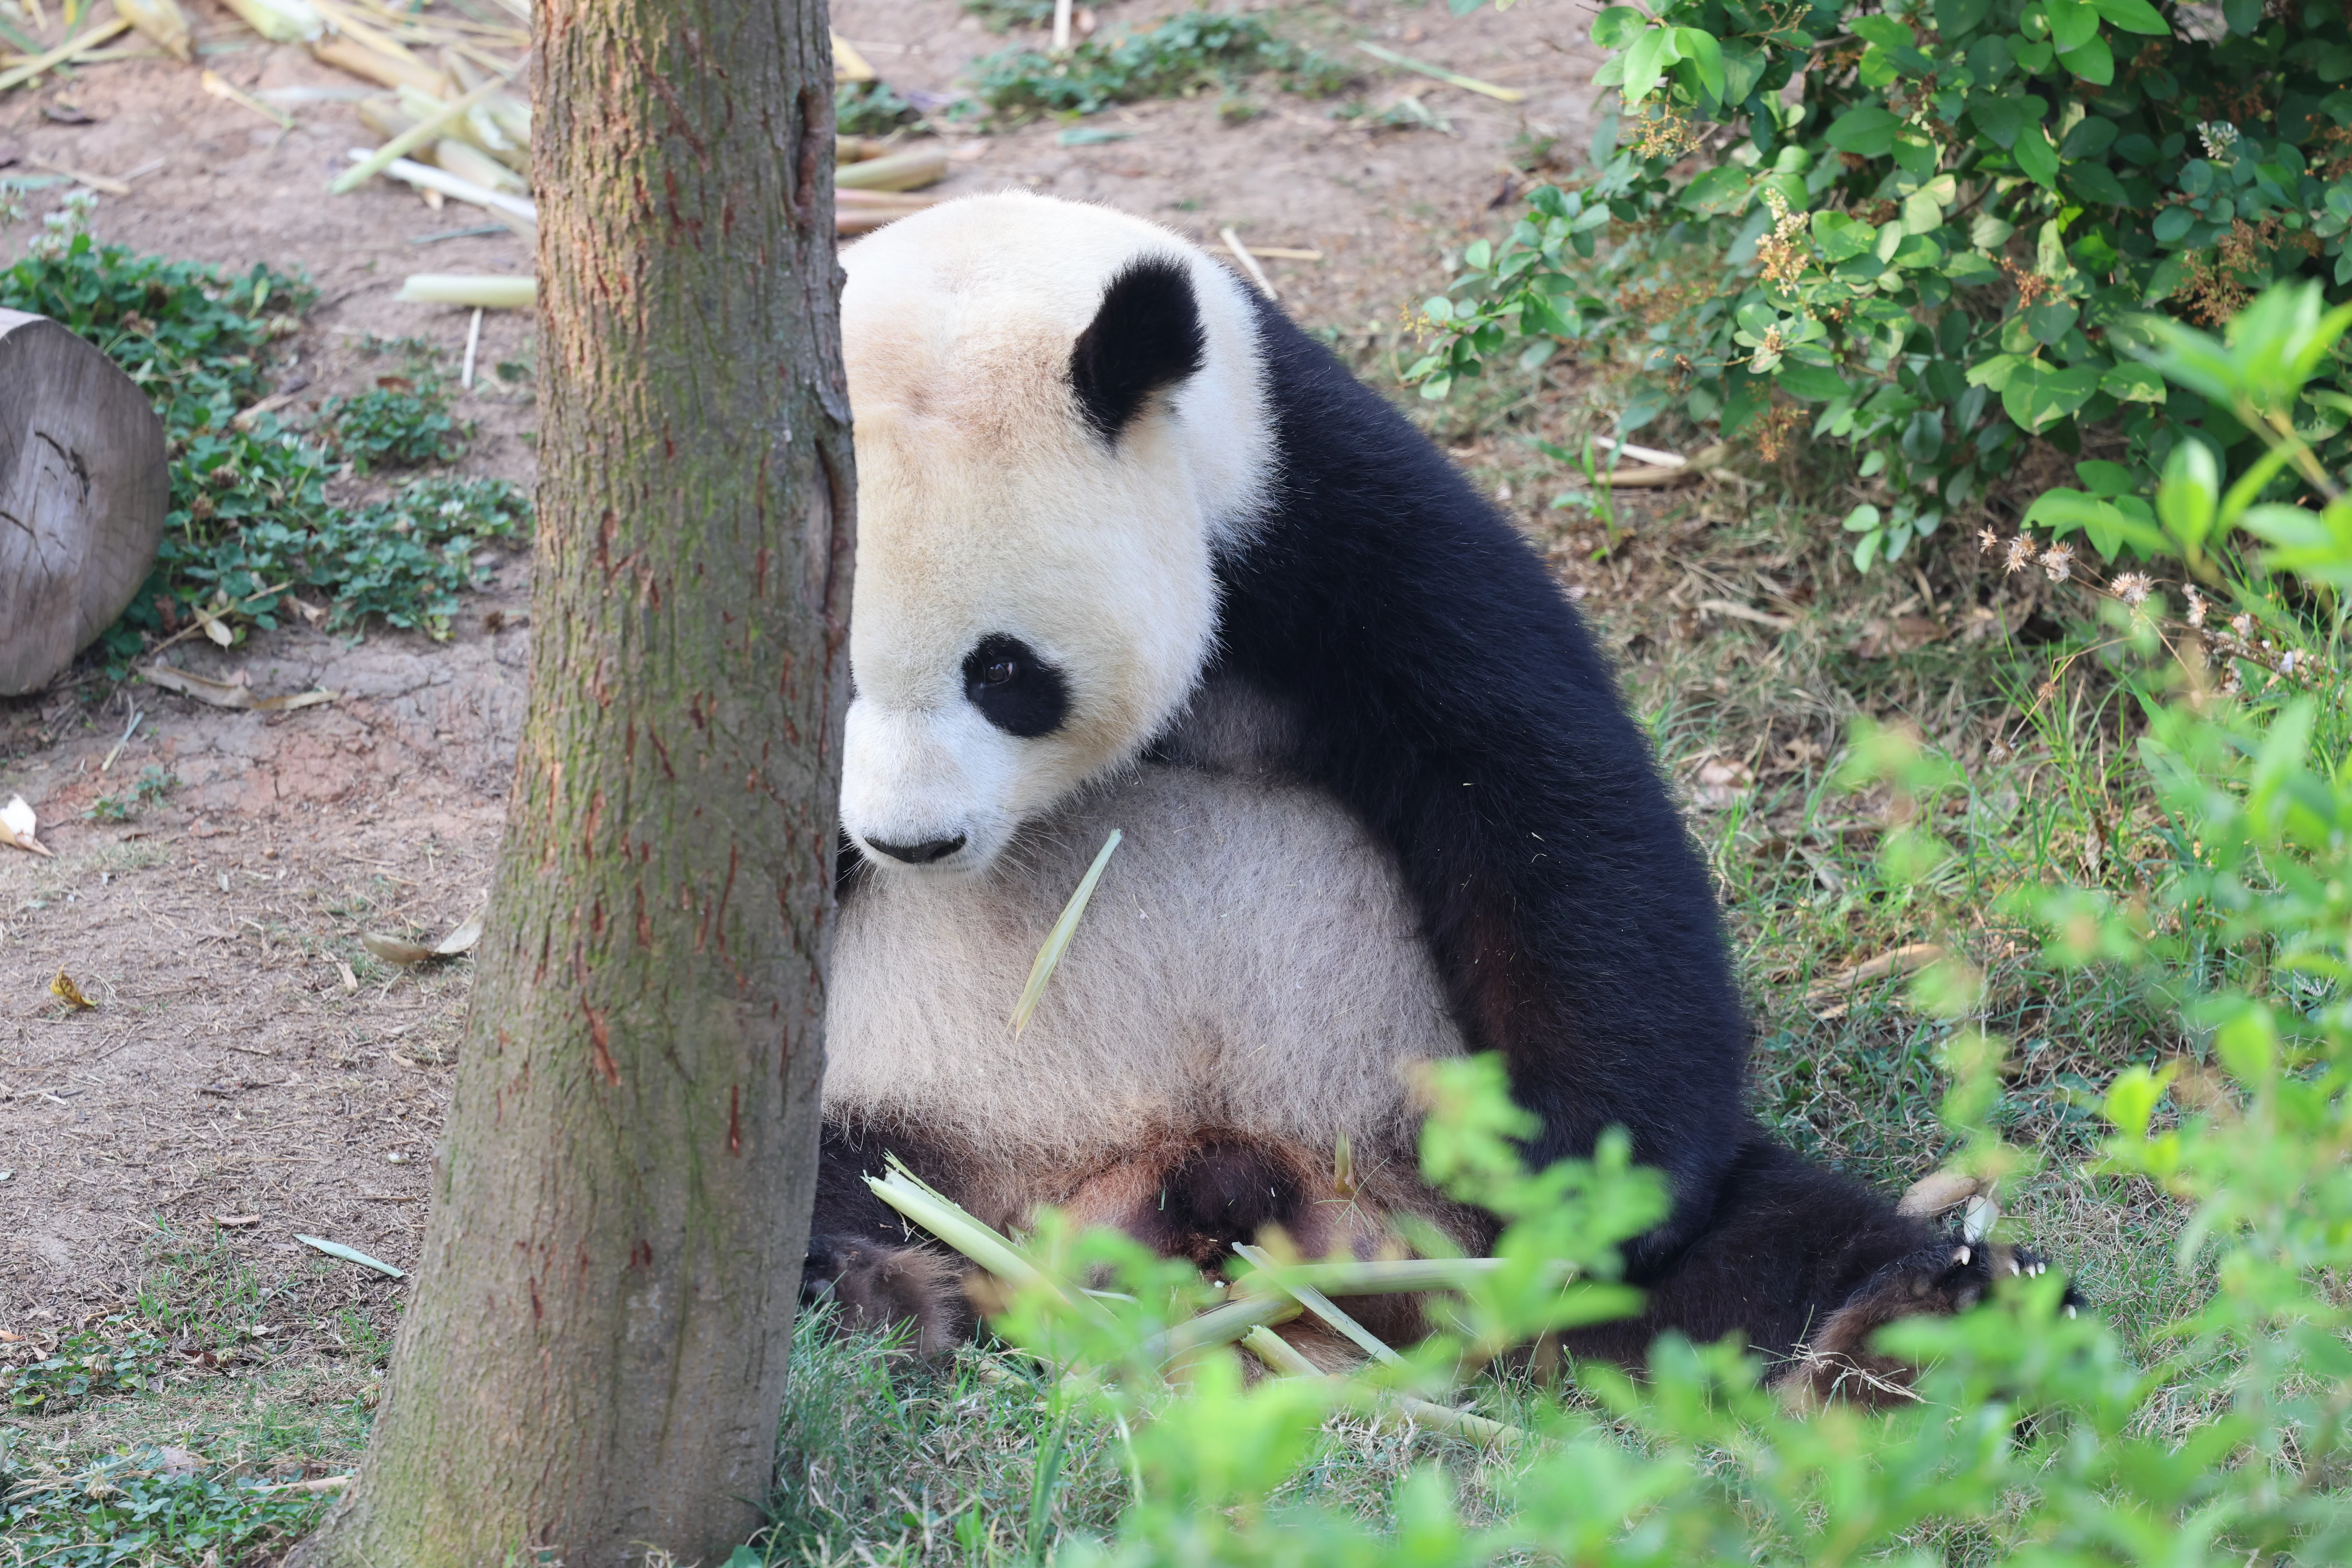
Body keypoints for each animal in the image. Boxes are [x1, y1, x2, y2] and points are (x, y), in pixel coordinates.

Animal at [806, 190, 2055, 1400]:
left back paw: (1919, 1326)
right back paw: (882, 1291)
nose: (913, 844)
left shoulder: (1313, 506)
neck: (996, 269)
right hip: (929, 1119)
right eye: (832, 683)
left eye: (1003, 672)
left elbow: (1543, 797)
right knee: (823, 1187)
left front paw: (1583, 1192)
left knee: (1769, 1241)